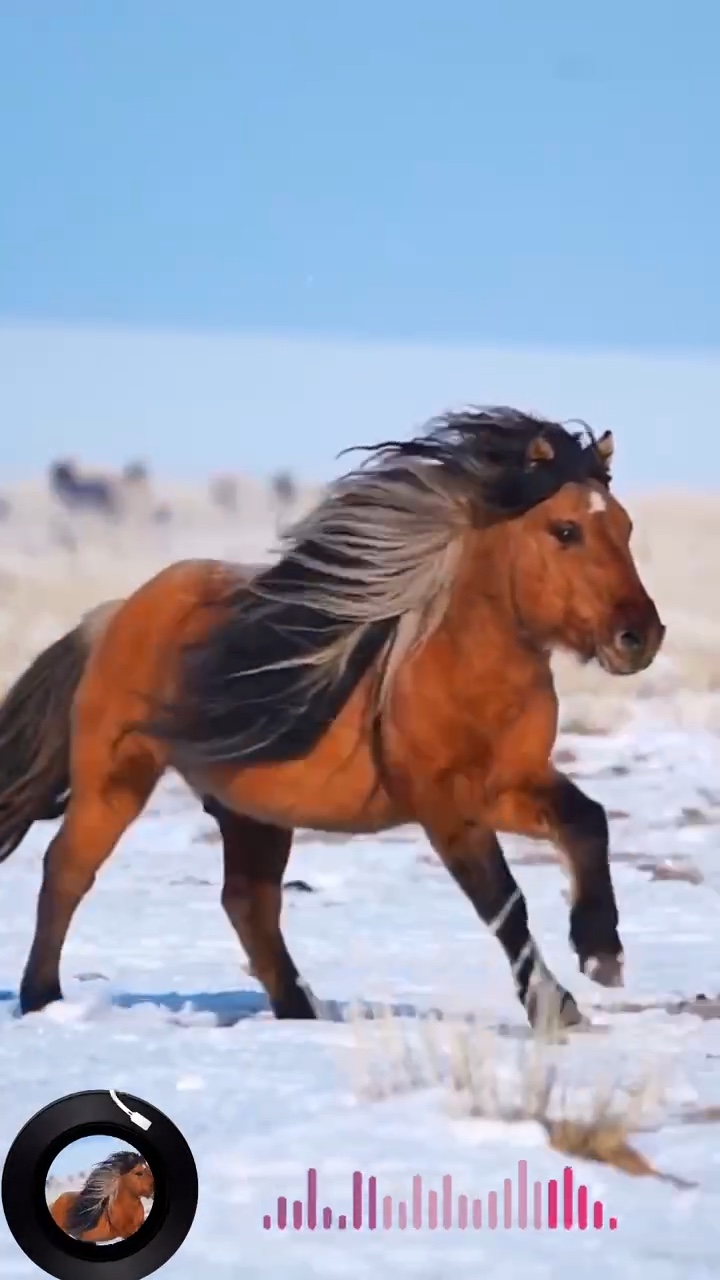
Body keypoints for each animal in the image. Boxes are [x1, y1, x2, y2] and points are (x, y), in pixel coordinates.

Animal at [0, 406, 665, 1030]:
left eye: (627, 527)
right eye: (565, 530)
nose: (639, 637)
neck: (465, 669)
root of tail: (113, 615)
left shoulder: (509, 785)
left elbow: (586, 822)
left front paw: (601, 953)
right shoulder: (445, 806)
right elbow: (503, 901)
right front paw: (556, 1007)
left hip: (252, 808)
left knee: (249, 903)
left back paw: (300, 1010)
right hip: (117, 781)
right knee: (67, 870)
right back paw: (41, 997)